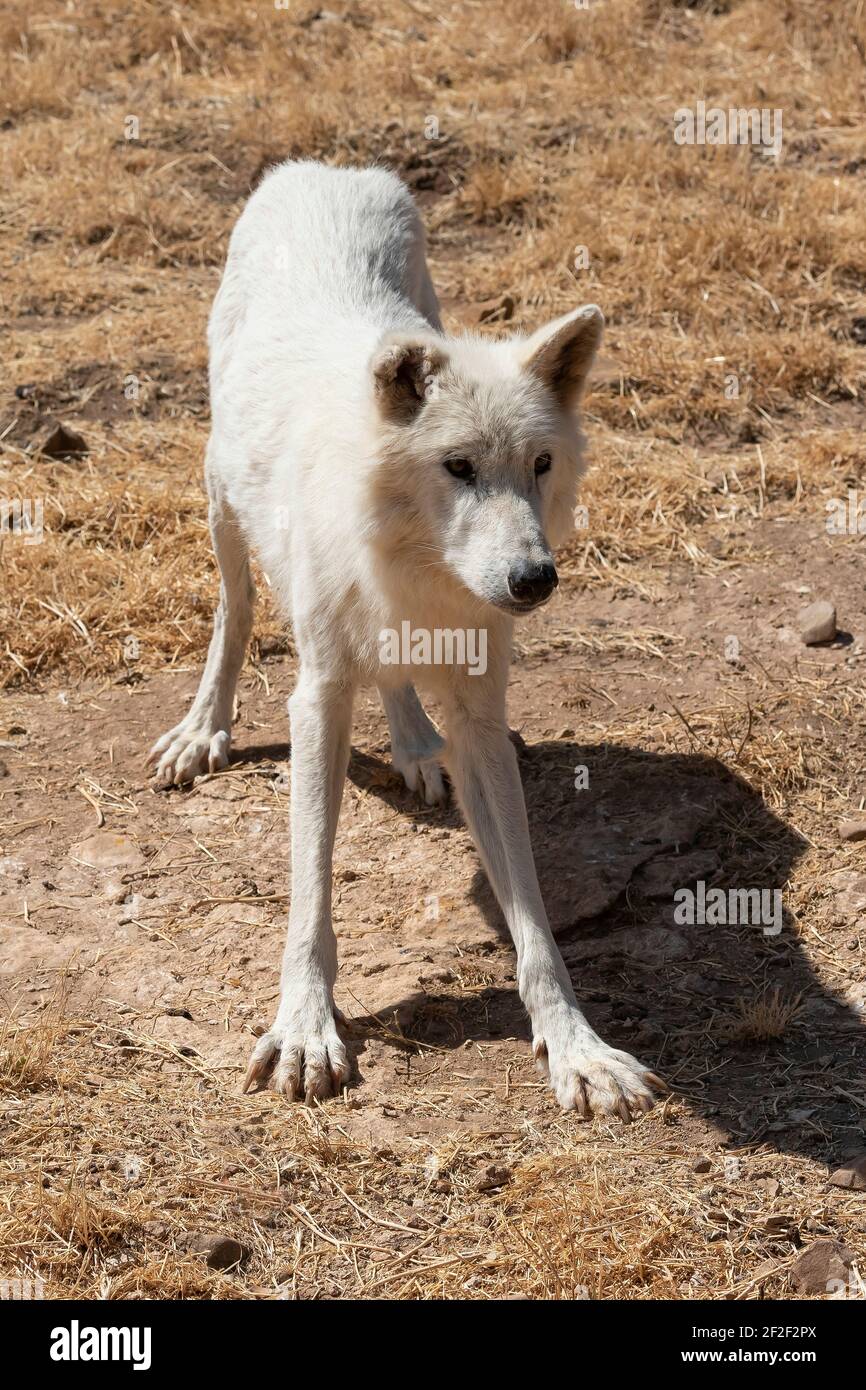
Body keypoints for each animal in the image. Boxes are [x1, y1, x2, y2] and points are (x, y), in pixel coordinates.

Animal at [147, 159, 664, 1117]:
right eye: (457, 467)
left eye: (539, 465)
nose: (534, 579)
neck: (418, 573)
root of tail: (326, 168)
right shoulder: (317, 698)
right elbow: (310, 891)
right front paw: (306, 1029)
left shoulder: (481, 713)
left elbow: (534, 921)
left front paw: (578, 1049)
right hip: (221, 498)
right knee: (235, 609)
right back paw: (204, 730)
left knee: (393, 681)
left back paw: (418, 748)